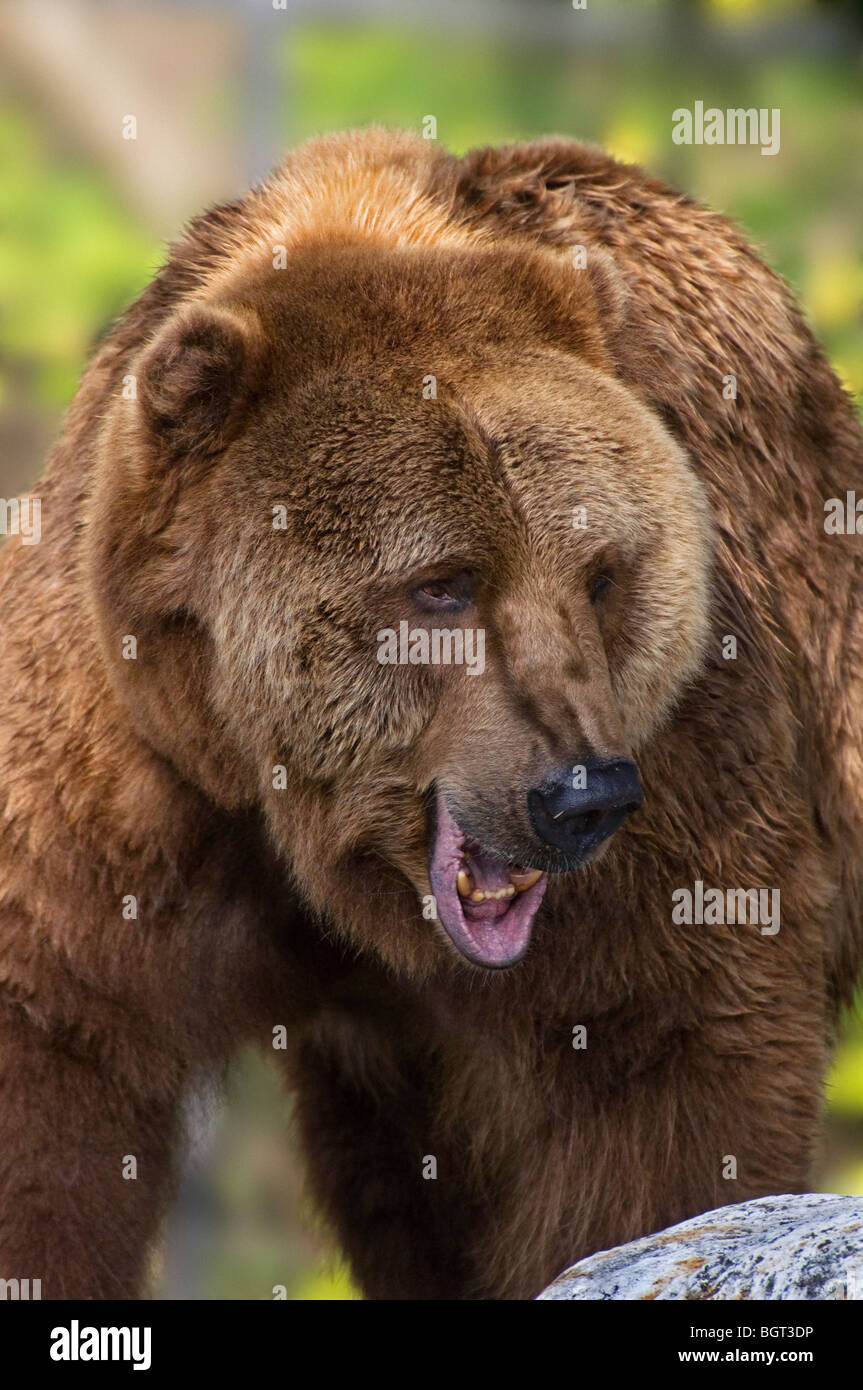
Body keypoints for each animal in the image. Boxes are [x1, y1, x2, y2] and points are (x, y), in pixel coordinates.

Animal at [0, 127, 861, 1302]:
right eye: (444, 584)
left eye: (599, 573)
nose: (579, 794)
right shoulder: (123, 772)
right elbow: (55, 1054)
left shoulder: (673, 794)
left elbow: (666, 1065)